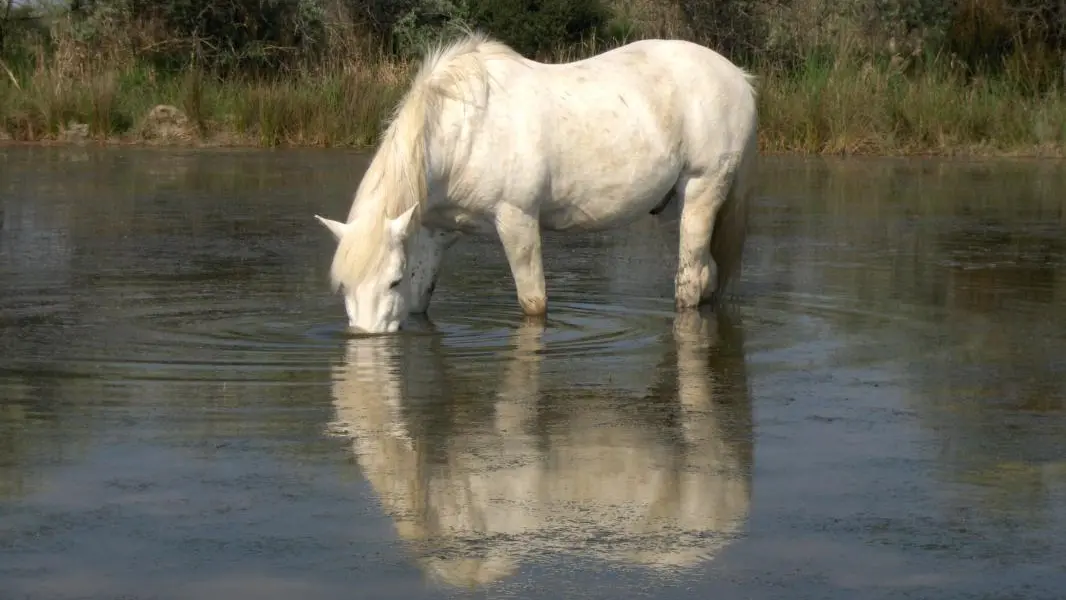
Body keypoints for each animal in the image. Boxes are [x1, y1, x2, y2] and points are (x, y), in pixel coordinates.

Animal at [315, 31, 758, 332]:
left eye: (391, 282)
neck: (464, 129)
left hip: (702, 190)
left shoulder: (517, 221)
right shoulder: (433, 234)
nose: (367, 340)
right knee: (709, 276)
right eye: (343, 288)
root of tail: (738, 77)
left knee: (692, 280)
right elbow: (421, 299)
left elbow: (534, 303)